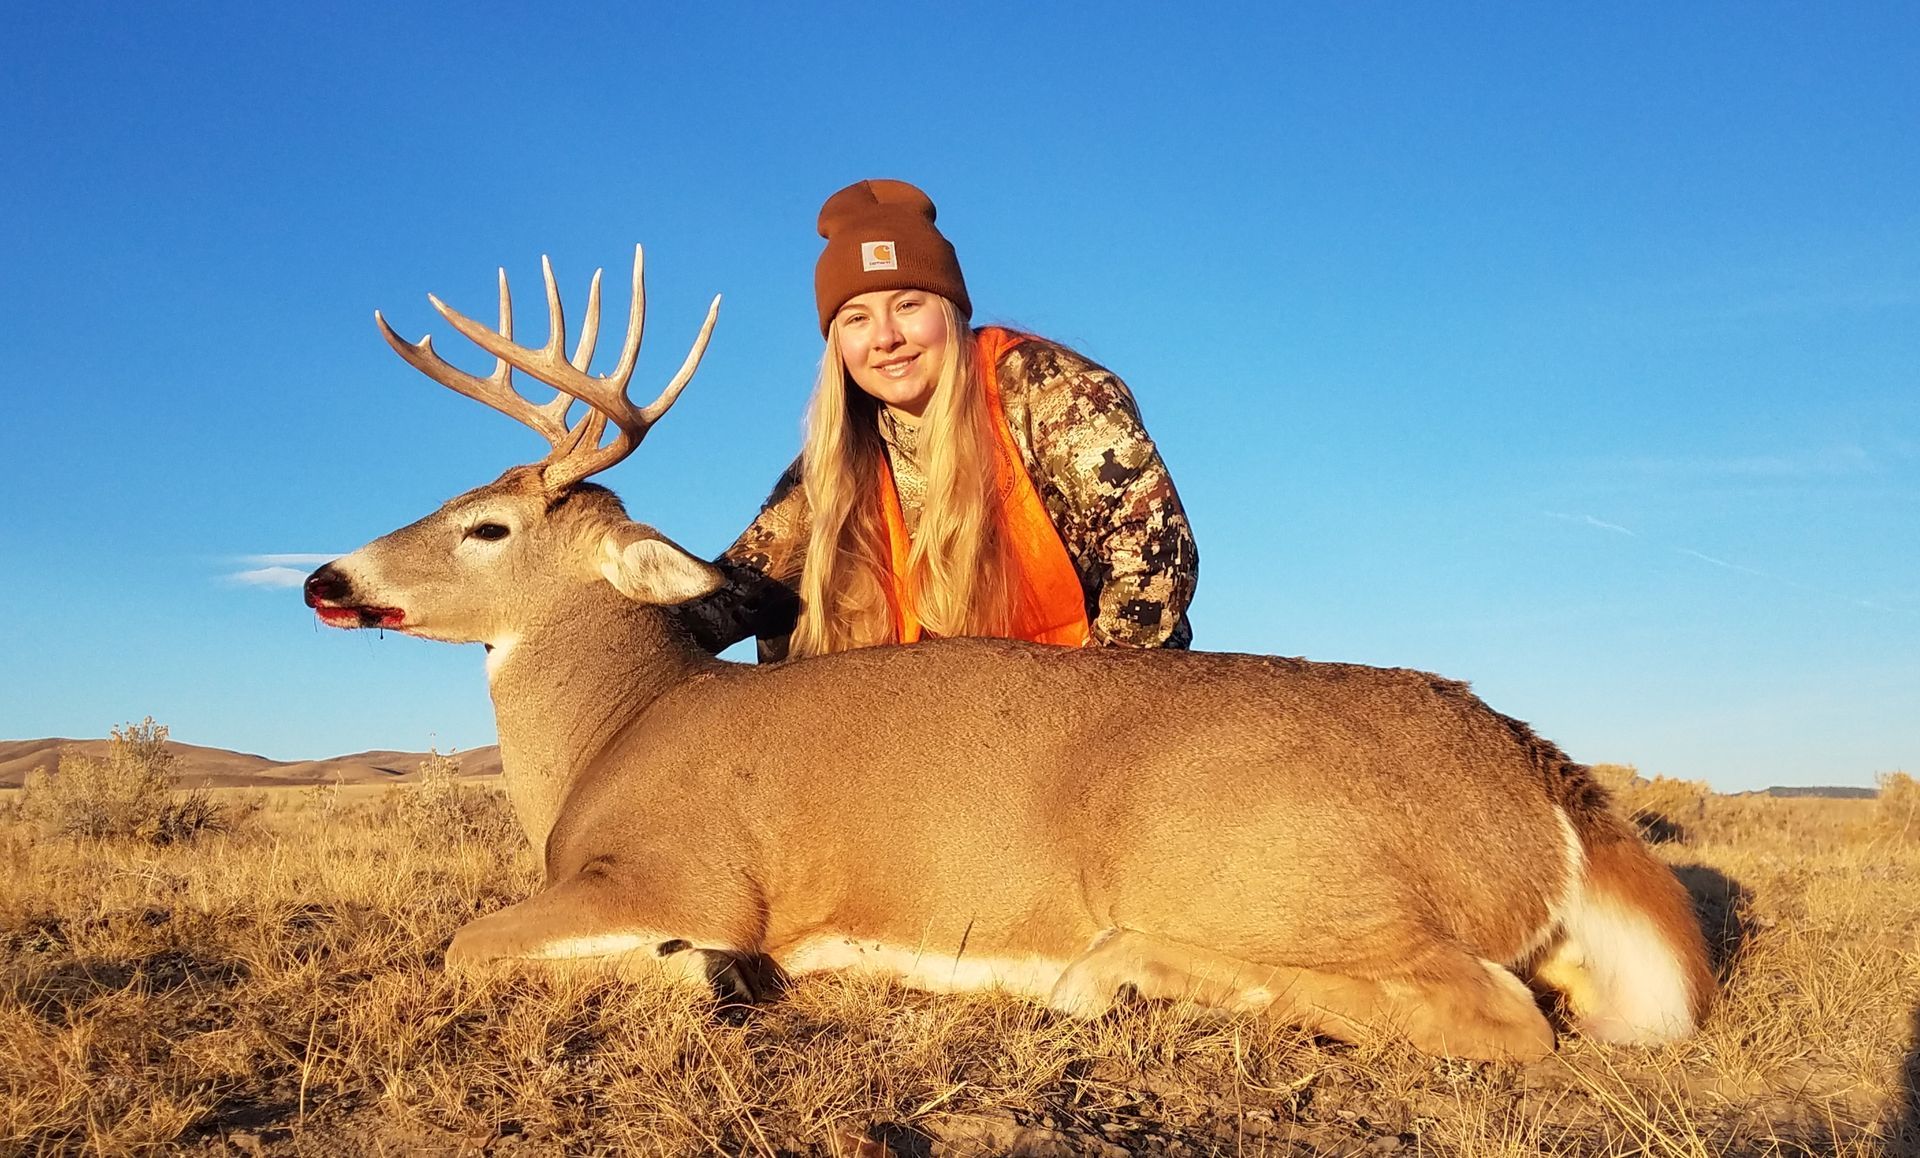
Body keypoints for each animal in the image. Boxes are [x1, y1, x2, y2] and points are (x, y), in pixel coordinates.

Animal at [304, 246, 1714, 1060]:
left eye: (486, 526)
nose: (326, 578)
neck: (614, 734)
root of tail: (1547, 782)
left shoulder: (687, 871)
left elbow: (472, 941)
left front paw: (700, 974)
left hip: (1260, 862)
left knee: (1498, 1015)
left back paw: (1115, 975)